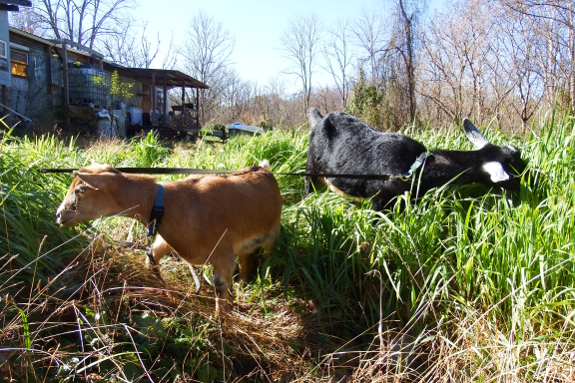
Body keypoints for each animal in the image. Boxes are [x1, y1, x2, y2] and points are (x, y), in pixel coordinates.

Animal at [56, 161, 284, 300]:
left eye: (81, 190)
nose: (58, 214)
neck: (166, 204)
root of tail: (263, 168)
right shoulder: (168, 239)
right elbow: (151, 258)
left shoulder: (223, 254)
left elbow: (220, 292)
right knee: (247, 258)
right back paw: (244, 284)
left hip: (273, 233)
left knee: (267, 255)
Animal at [304, 108, 528, 212]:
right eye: (513, 172)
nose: (528, 185)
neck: (415, 166)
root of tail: (319, 118)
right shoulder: (379, 201)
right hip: (311, 166)